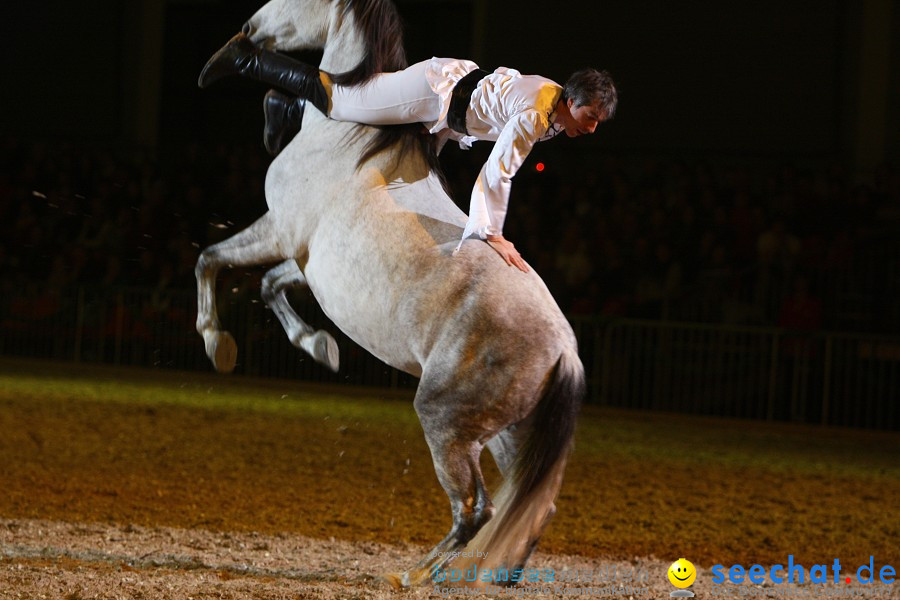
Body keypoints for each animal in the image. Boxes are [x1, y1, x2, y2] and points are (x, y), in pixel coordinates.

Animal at [194, 0, 588, 584]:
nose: (252, 25)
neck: (348, 136)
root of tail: (566, 351)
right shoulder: (308, 262)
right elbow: (269, 284)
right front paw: (320, 346)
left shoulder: (277, 230)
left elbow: (210, 261)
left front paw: (217, 343)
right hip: (508, 433)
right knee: (531, 506)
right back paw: (492, 573)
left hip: (445, 422)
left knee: (477, 508)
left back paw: (417, 574)